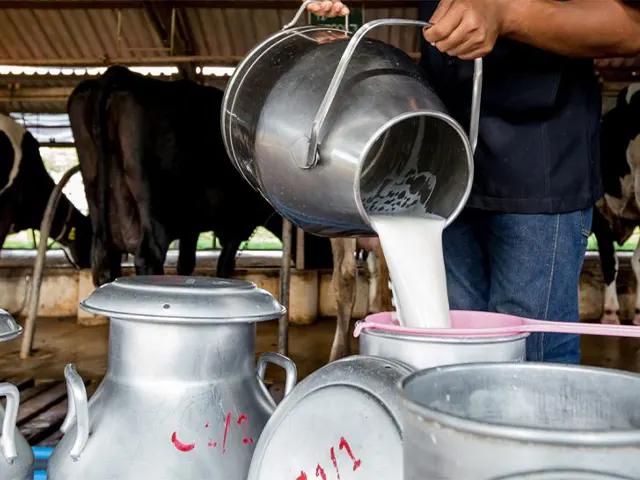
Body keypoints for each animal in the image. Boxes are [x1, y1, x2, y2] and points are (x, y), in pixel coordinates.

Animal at [67, 65, 332, 286]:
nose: (327, 261)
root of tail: (119, 74)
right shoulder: (236, 223)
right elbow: (224, 266)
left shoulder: (190, 226)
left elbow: (186, 264)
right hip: (154, 207)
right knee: (149, 254)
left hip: (98, 200)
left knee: (104, 263)